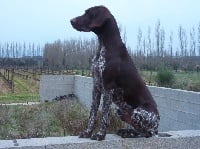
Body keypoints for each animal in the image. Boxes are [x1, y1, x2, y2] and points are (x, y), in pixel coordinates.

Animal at [70, 5, 159, 141]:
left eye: (88, 13)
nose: (71, 20)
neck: (103, 45)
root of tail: (157, 122)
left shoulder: (108, 88)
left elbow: (104, 115)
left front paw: (100, 135)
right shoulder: (96, 87)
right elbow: (92, 114)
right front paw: (87, 132)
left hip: (139, 112)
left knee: (147, 133)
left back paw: (130, 134)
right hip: (121, 111)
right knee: (139, 129)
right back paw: (126, 132)